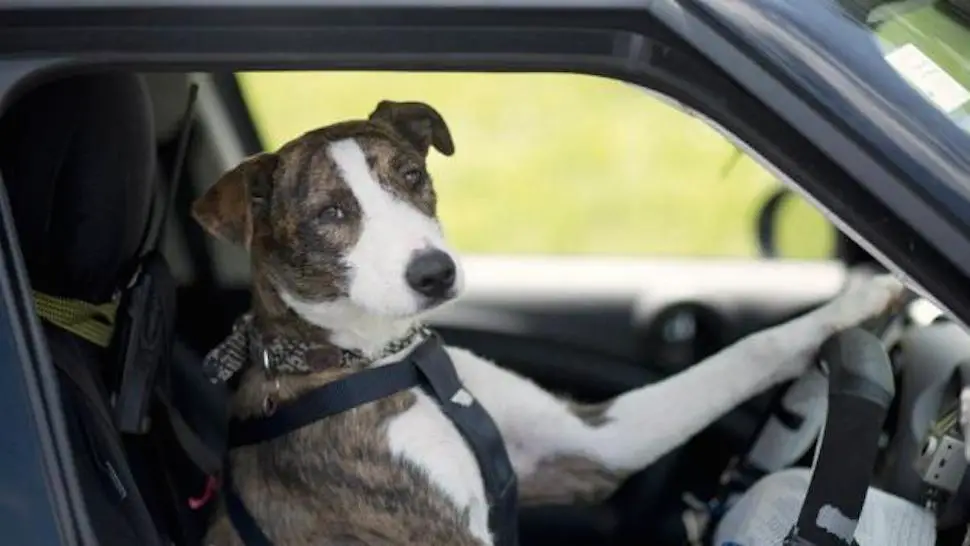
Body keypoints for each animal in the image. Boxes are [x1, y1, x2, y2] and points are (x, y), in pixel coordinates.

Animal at [191, 100, 908, 540]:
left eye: (413, 175)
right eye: (330, 214)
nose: (436, 274)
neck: (385, 360)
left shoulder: (585, 446)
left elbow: (748, 353)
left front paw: (864, 301)